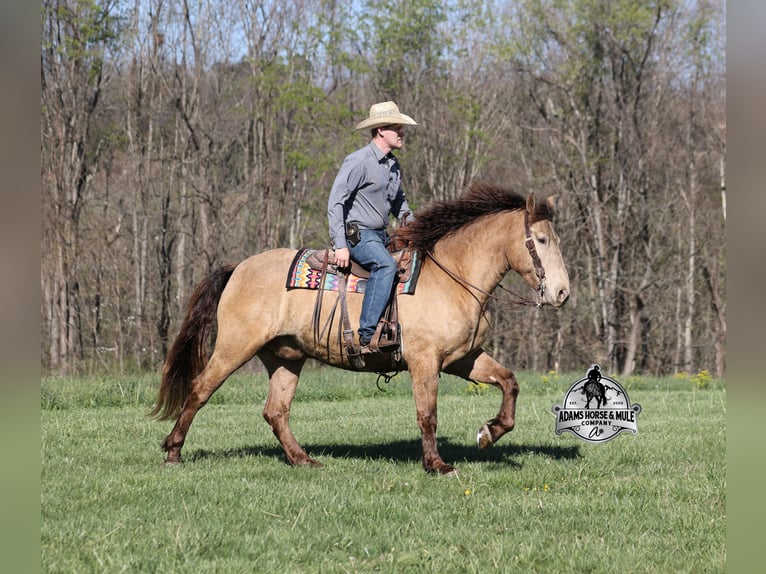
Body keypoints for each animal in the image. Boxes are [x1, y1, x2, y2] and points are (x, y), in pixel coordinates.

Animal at [151, 182, 570, 475]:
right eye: (542, 239)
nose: (562, 292)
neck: (452, 276)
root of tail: (238, 266)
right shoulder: (425, 361)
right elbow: (428, 413)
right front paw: (437, 465)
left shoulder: (461, 359)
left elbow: (509, 382)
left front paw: (489, 433)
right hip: (234, 347)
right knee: (200, 390)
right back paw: (173, 450)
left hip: (286, 357)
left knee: (276, 411)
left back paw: (303, 460)